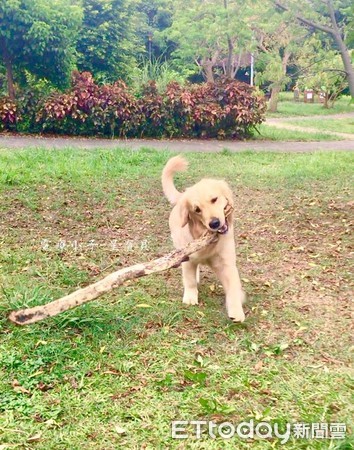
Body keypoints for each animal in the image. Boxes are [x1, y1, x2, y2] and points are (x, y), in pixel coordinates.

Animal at [162, 156, 245, 322]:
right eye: (197, 210)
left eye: (214, 199)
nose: (214, 223)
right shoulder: (188, 259)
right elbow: (189, 280)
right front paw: (190, 297)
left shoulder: (227, 263)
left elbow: (233, 287)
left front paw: (236, 311)